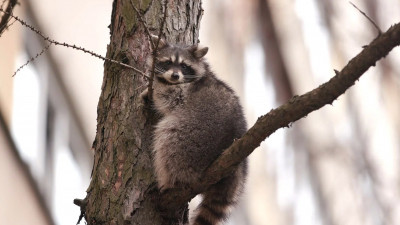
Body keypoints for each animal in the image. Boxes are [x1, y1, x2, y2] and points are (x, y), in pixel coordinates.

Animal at [144, 37, 247, 225]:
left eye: (184, 66)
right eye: (168, 62)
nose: (175, 76)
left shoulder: (183, 92)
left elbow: (167, 96)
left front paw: (153, 87)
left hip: (193, 140)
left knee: (168, 140)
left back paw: (168, 182)